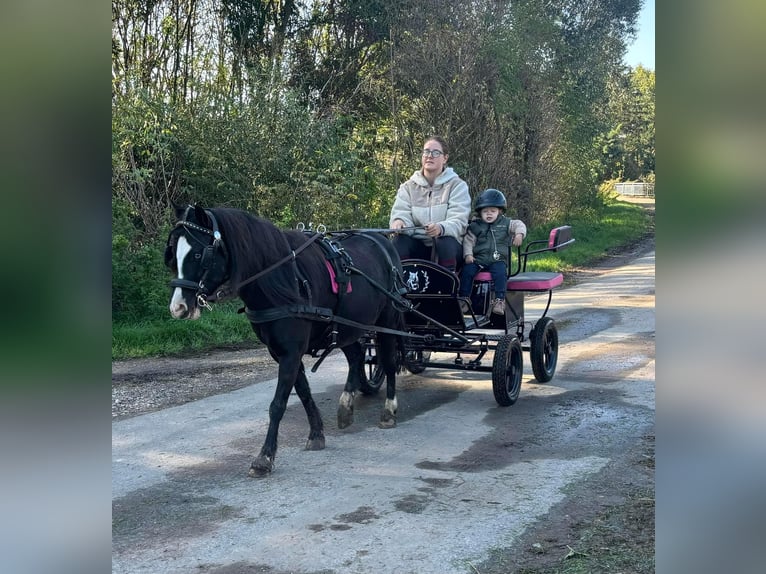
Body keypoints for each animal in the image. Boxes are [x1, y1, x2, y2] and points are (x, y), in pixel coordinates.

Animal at [166, 206, 408, 476]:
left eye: (199, 253)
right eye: (173, 254)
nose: (178, 307)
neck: (281, 278)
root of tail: (382, 242)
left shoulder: (291, 352)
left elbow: (278, 403)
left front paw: (264, 457)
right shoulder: (280, 352)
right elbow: (303, 392)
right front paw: (316, 434)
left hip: (387, 321)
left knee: (388, 361)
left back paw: (388, 411)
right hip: (348, 325)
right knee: (356, 355)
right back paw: (346, 406)